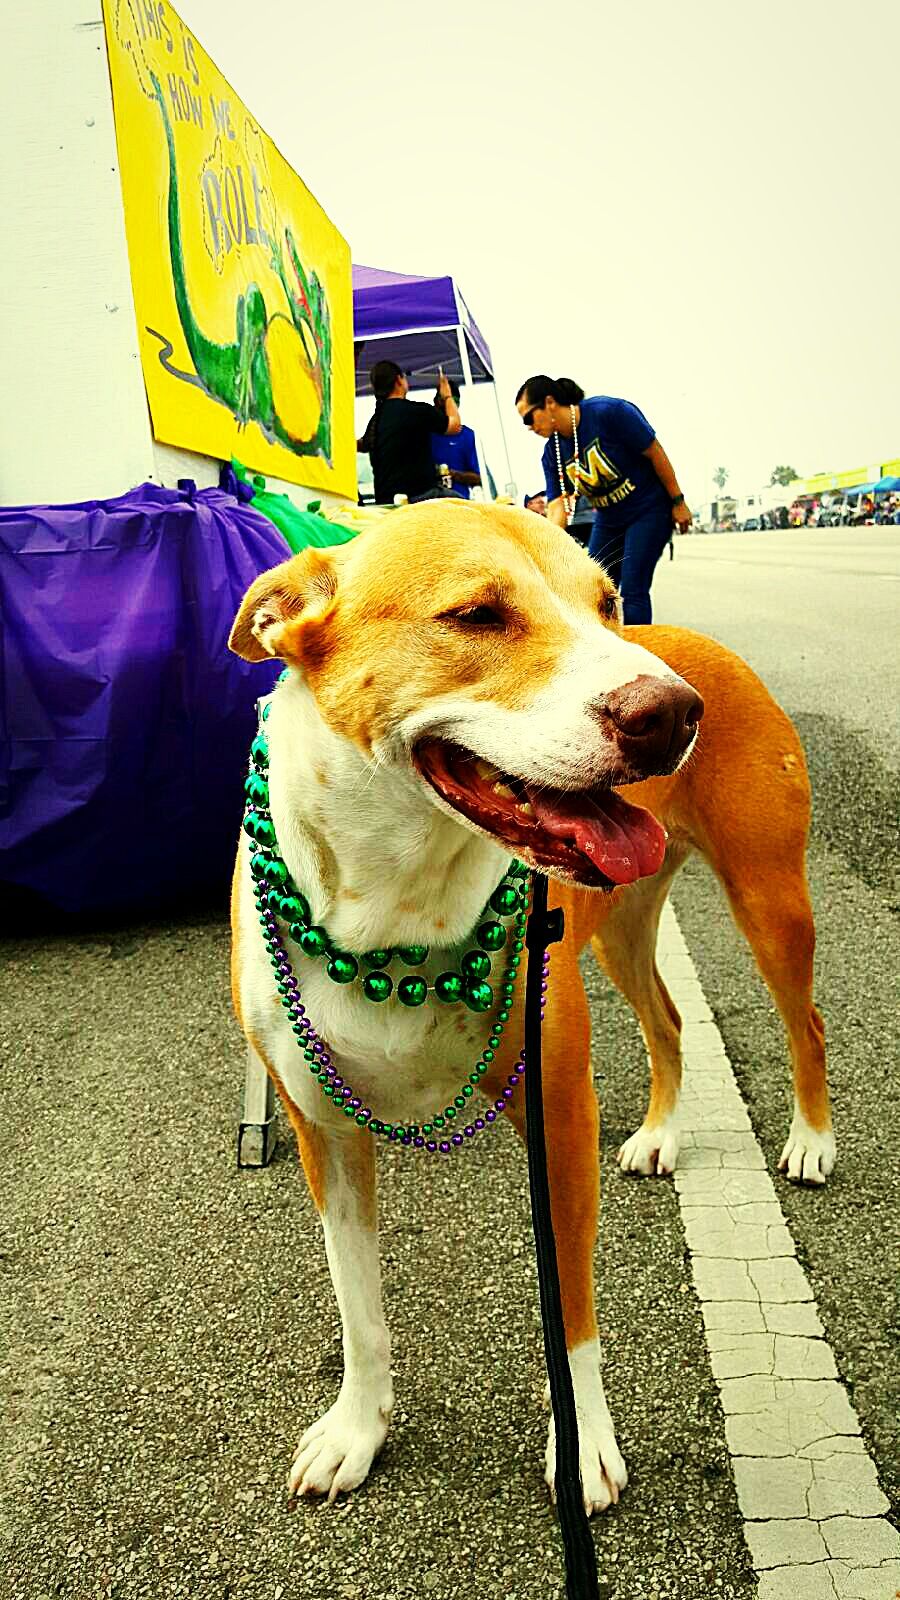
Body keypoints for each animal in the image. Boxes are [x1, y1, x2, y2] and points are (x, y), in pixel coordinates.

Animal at [227, 499, 832, 1510]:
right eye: (476, 615)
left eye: (605, 603)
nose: (672, 713)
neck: (394, 907)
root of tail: (693, 642)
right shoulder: (325, 1133)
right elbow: (357, 1304)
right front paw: (358, 1430)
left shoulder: (556, 1111)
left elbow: (571, 1310)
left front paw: (581, 1445)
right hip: (622, 922)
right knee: (668, 1021)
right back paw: (662, 1133)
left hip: (769, 897)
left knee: (805, 1024)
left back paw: (813, 1141)